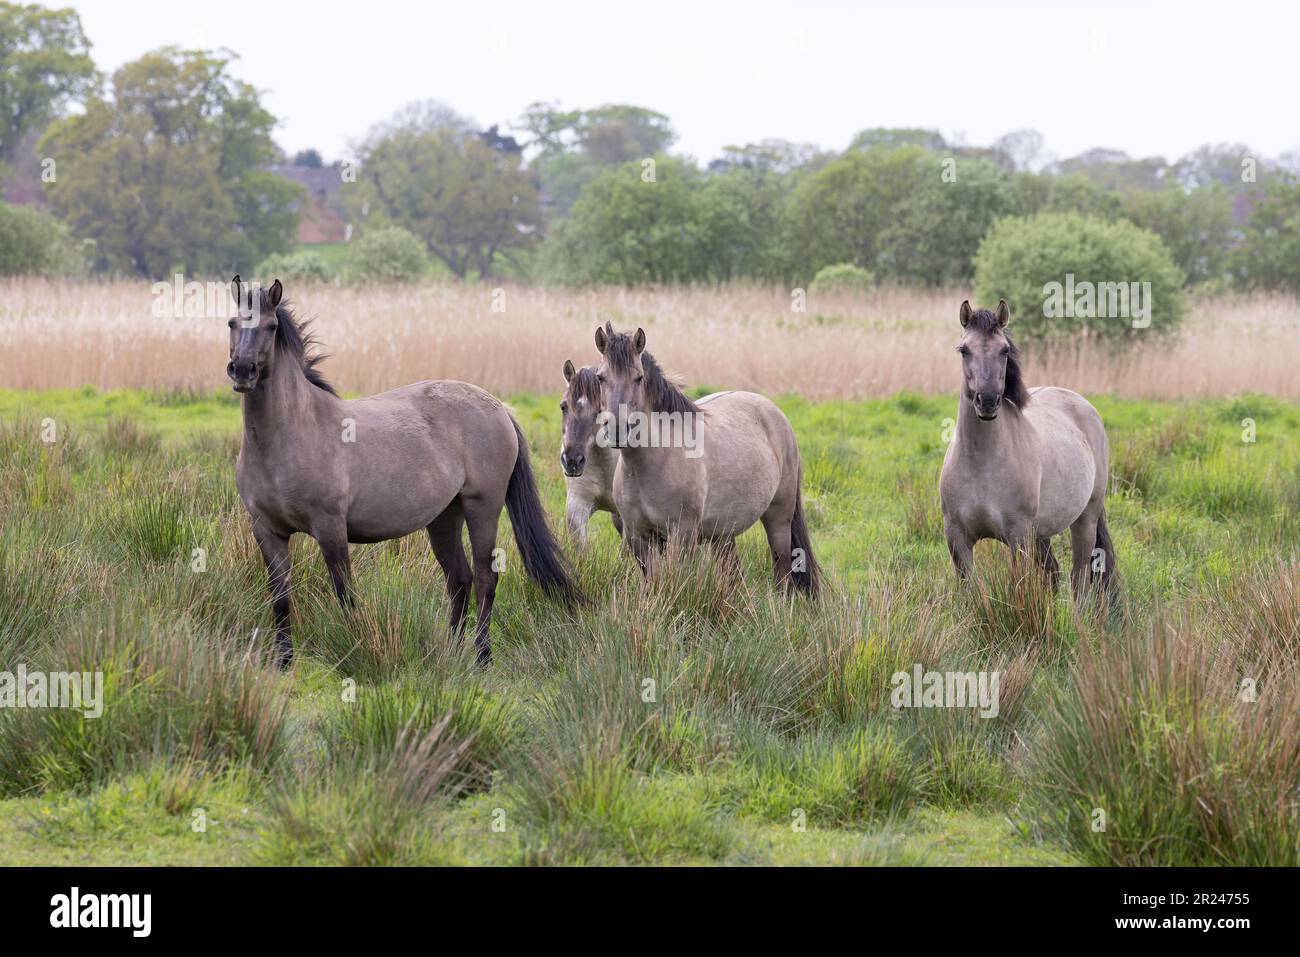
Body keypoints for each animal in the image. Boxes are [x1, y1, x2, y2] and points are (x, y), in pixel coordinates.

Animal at [227, 276, 579, 665]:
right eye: (231, 323)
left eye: (271, 327)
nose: (242, 370)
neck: (288, 436)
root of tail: (499, 407)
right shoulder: (267, 531)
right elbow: (280, 598)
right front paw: (284, 661)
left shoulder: (330, 529)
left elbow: (345, 595)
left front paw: (354, 648)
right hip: (445, 517)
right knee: (459, 579)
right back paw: (450, 653)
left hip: (482, 508)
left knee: (486, 578)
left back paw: (482, 655)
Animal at [592, 321, 816, 595]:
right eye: (600, 377)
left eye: (639, 378)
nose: (616, 430)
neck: (654, 462)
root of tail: (775, 413)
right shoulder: (638, 537)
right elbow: (652, 583)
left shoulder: (682, 536)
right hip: (723, 533)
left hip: (779, 518)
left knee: (782, 568)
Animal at [935, 299, 1118, 598]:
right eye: (964, 350)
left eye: (1005, 350)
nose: (987, 401)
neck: (981, 462)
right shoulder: (957, 538)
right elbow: (969, 593)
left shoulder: (1018, 536)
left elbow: (1017, 590)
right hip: (1041, 533)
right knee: (1053, 572)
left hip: (1085, 519)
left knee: (1079, 578)